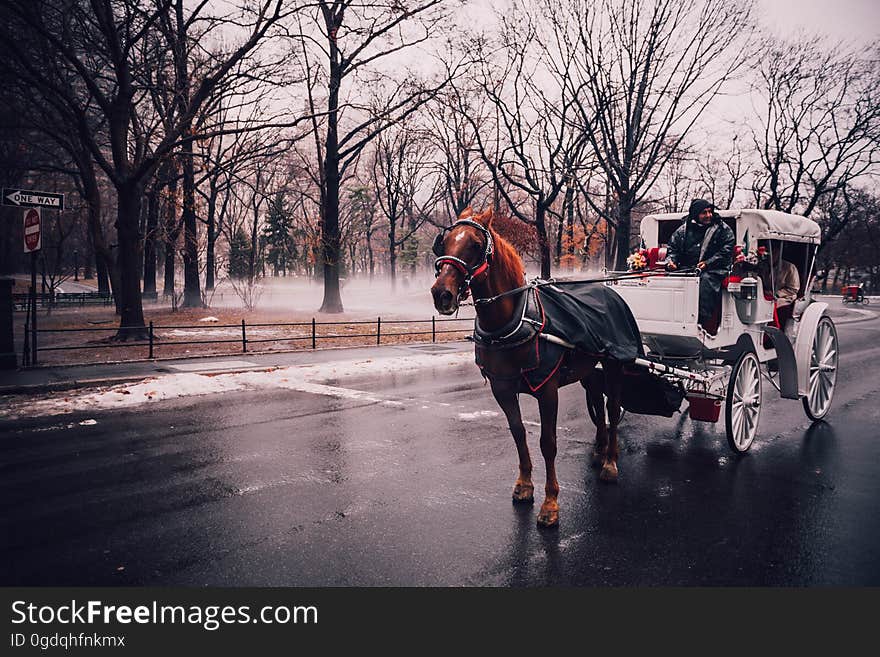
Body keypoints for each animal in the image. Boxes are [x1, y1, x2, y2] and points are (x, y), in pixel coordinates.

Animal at [432, 209, 624, 528]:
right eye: (444, 242)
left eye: (475, 244)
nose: (441, 294)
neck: (513, 320)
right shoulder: (503, 387)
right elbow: (518, 432)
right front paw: (524, 485)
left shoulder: (547, 389)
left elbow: (548, 442)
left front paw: (550, 503)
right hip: (589, 370)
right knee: (597, 401)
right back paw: (599, 447)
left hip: (614, 364)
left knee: (612, 408)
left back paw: (610, 461)